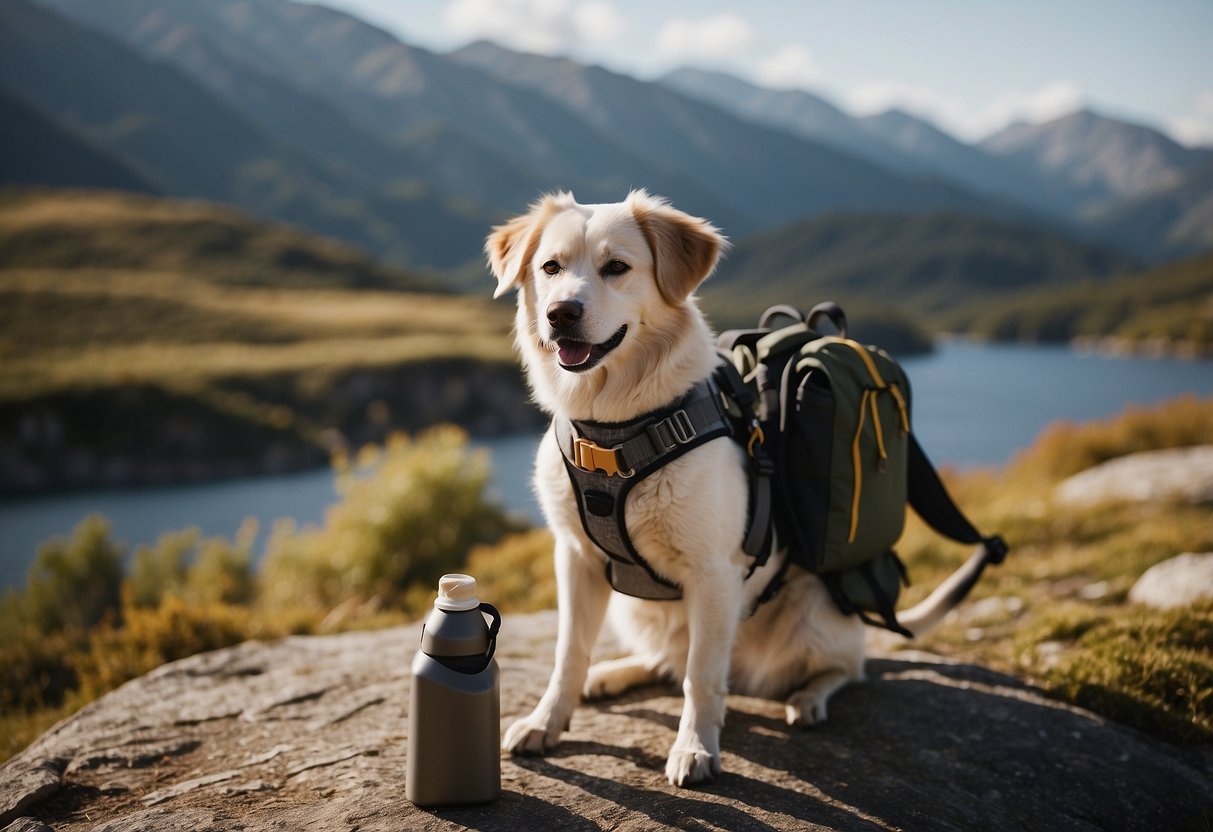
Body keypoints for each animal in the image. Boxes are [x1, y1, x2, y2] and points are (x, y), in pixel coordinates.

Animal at [482, 192, 965, 790]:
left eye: (616, 266)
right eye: (550, 267)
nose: (561, 313)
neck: (613, 430)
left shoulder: (713, 573)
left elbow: (702, 675)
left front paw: (695, 748)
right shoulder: (575, 558)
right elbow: (569, 652)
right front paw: (547, 721)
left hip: (812, 611)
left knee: (847, 667)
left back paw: (808, 697)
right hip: (634, 611)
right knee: (665, 658)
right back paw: (614, 673)